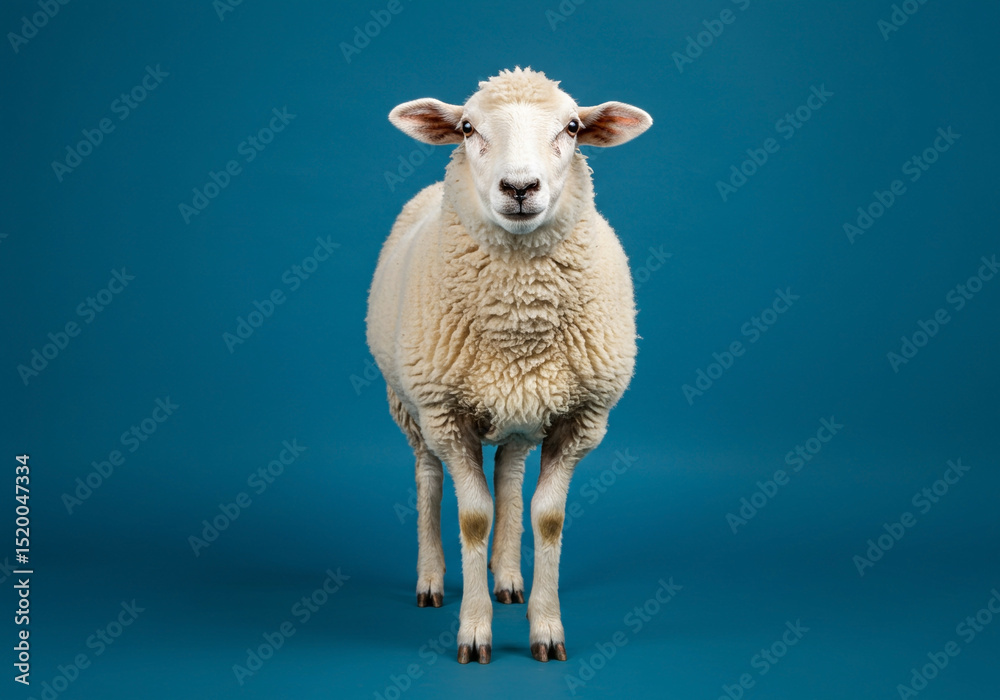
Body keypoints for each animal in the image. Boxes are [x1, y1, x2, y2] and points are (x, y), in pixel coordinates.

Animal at [366, 67, 652, 664]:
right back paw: (431, 580)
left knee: (510, 475)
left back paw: (508, 579)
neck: (519, 321)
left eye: (572, 127)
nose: (519, 188)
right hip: (408, 404)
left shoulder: (582, 420)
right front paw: (475, 632)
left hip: (519, 410)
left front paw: (546, 627)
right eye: (468, 128)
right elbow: (472, 517)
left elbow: (547, 517)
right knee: (428, 478)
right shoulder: (447, 417)